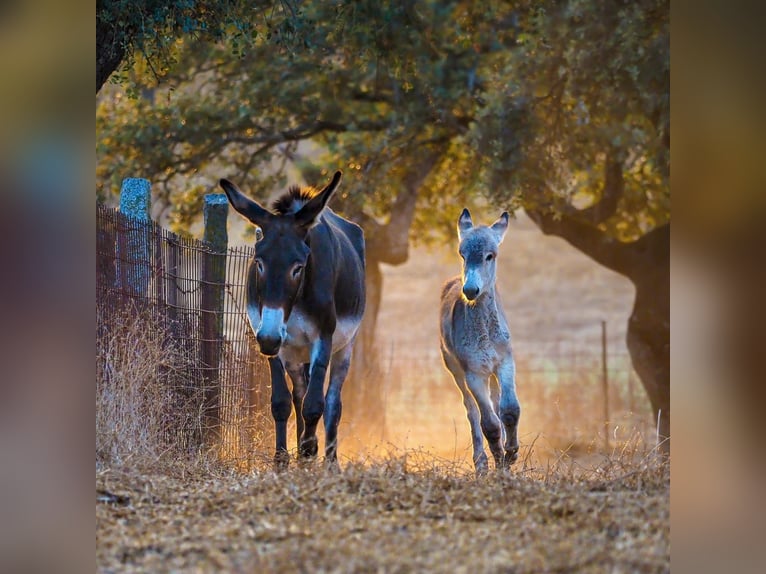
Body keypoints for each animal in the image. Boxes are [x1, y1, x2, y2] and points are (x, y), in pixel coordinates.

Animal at [444, 209, 520, 474]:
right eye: (462, 254)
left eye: (490, 255)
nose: (470, 290)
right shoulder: (474, 373)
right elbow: (489, 423)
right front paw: (499, 460)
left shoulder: (505, 362)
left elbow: (509, 410)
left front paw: (511, 453)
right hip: (456, 370)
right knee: (472, 411)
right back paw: (481, 462)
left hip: (492, 372)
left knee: (497, 404)